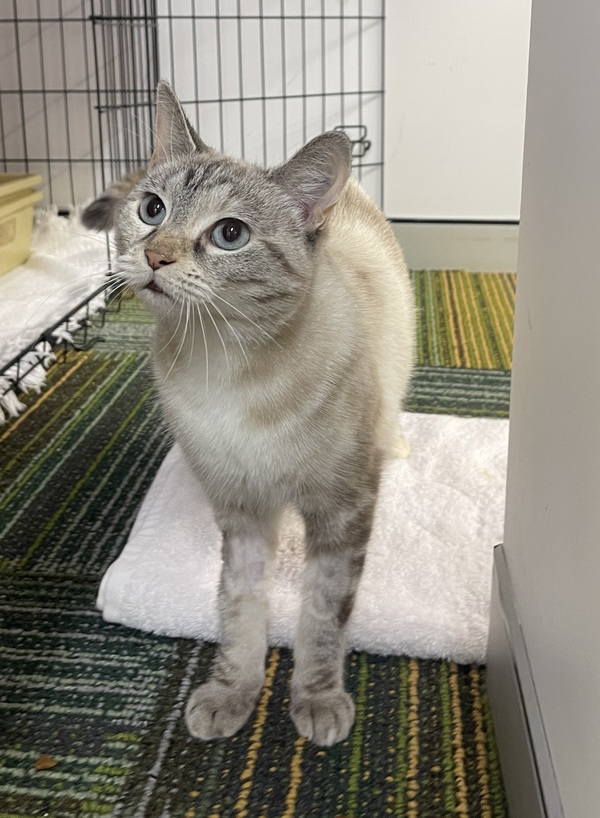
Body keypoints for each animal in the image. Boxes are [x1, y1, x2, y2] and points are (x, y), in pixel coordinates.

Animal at [83, 81, 416, 747]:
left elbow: (322, 613)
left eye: (229, 234)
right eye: (152, 210)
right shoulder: (239, 509)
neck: (228, 370)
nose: (156, 256)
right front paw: (232, 692)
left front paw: (317, 699)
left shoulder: (343, 509)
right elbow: (238, 607)